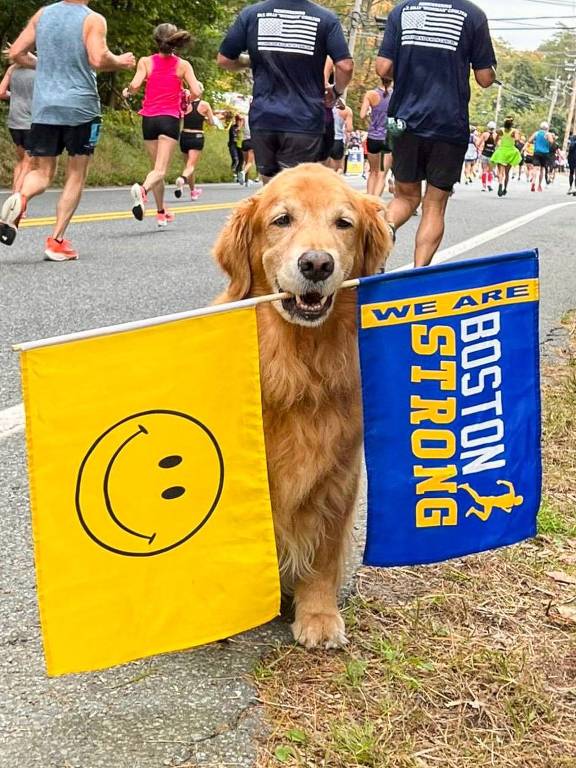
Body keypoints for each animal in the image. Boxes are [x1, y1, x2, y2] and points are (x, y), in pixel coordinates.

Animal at [214, 162, 394, 648]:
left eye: (343, 223)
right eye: (282, 220)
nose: (316, 263)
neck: (298, 366)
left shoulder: (338, 476)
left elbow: (324, 555)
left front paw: (317, 614)